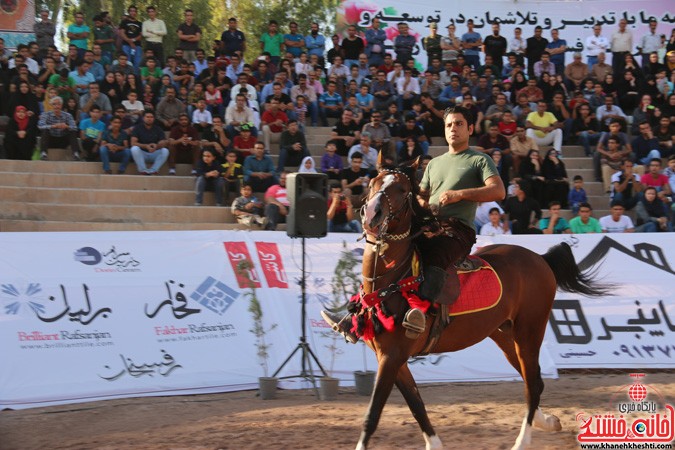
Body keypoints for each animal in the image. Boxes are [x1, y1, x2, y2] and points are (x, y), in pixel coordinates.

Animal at [354, 165, 608, 450]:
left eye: (402, 189)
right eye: (373, 183)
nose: (372, 214)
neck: (393, 281)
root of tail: (540, 259)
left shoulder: (392, 356)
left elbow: (373, 414)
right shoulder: (390, 358)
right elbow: (416, 404)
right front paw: (434, 444)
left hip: (530, 331)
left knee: (532, 385)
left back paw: (522, 441)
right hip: (505, 334)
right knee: (535, 380)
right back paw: (548, 422)